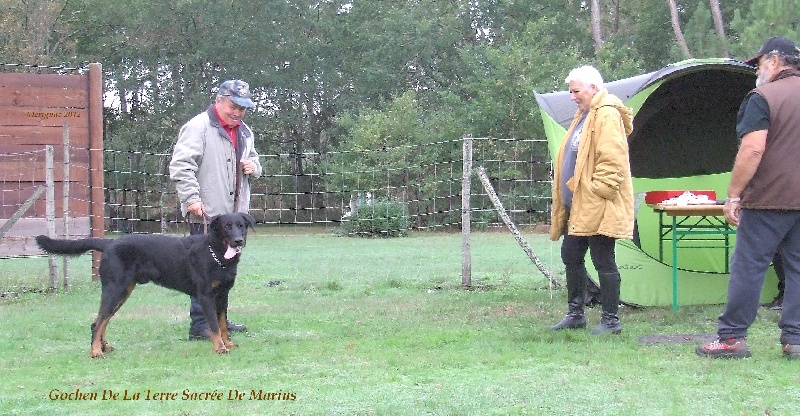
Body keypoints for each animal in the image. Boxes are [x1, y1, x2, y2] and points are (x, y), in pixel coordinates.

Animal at [33, 211, 253, 358]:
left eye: (240, 225)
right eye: (226, 226)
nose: (238, 241)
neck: (215, 253)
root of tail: (109, 243)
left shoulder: (222, 295)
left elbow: (223, 323)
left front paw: (228, 343)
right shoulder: (206, 296)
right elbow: (214, 326)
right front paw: (220, 347)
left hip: (123, 292)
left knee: (101, 321)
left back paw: (104, 347)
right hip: (115, 289)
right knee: (98, 323)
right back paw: (96, 352)